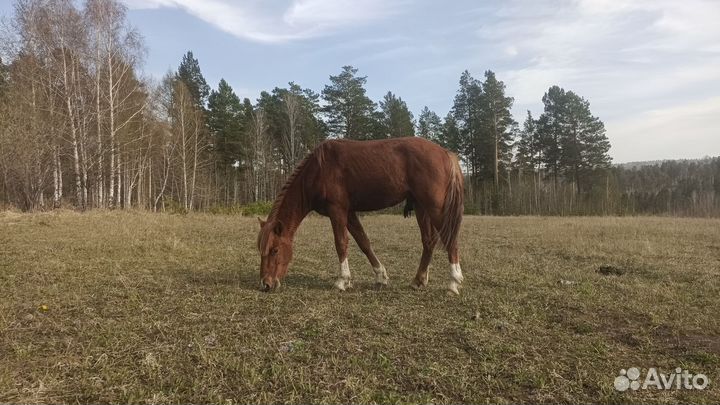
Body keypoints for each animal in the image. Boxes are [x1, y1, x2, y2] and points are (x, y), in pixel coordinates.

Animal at [257, 137, 465, 294]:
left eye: (275, 250)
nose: (266, 284)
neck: (319, 170)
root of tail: (445, 152)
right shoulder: (349, 213)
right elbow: (363, 242)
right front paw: (380, 276)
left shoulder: (337, 210)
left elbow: (341, 243)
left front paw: (342, 280)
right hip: (421, 207)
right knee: (429, 241)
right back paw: (418, 280)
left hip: (435, 207)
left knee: (450, 240)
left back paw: (453, 282)